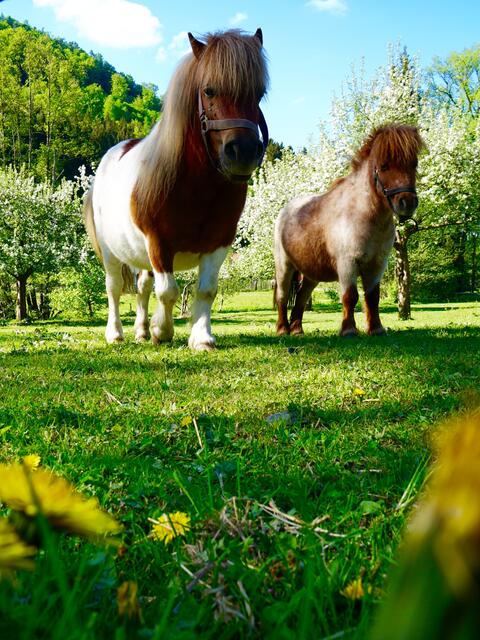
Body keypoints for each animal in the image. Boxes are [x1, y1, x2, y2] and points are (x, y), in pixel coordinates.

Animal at [84, 29, 268, 350]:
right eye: (209, 90)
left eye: (259, 93)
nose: (244, 153)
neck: (194, 186)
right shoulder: (159, 243)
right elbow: (168, 291)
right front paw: (163, 331)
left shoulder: (219, 242)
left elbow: (206, 289)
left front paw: (201, 338)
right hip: (111, 253)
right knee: (114, 288)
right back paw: (116, 333)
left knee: (143, 287)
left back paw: (142, 331)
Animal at [273, 124, 424, 337]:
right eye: (384, 166)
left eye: (414, 164)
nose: (407, 203)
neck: (362, 214)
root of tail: (285, 212)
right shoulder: (347, 263)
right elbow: (350, 296)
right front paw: (348, 330)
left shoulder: (377, 265)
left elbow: (372, 297)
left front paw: (376, 329)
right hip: (284, 266)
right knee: (282, 295)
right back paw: (282, 329)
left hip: (311, 275)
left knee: (301, 297)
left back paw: (297, 330)